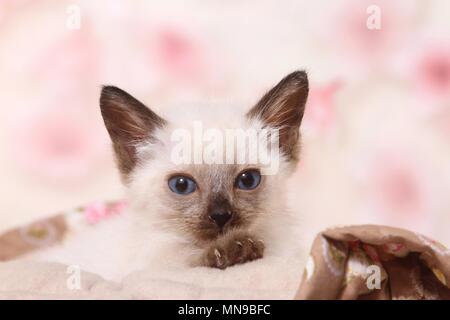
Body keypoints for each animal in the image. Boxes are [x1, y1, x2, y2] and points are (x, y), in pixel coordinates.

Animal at [29, 70, 310, 280]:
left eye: (248, 180)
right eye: (182, 185)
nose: (221, 215)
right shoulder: (154, 267)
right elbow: (186, 261)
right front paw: (235, 249)